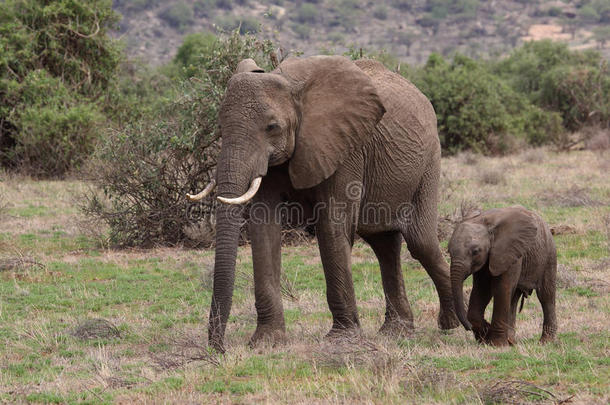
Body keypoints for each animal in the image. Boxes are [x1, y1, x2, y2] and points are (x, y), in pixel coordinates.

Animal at [188, 54, 458, 350]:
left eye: (272, 127)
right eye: (220, 126)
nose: (219, 348)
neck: (291, 86)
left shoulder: (346, 147)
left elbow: (331, 227)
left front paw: (342, 340)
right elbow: (263, 229)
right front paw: (266, 342)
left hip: (428, 162)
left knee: (421, 243)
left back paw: (452, 325)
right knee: (384, 245)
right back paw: (396, 333)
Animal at [446, 207, 556, 346]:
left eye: (475, 251)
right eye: (449, 251)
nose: (468, 327)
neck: (485, 224)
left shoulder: (509, 252)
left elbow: (501, 288)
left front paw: (496, 344)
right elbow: (482, 290)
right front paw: (485, 336)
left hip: (548, 255)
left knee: (546, 296)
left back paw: (545, 342)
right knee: (514, 298)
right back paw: (511, 341)